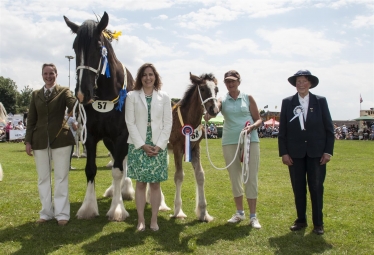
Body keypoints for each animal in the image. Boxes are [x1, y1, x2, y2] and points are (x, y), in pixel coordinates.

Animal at [64, 11, 134, 220]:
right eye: (75, 47)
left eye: (98, 45)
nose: (82, 93)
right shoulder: (91, 135)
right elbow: (91, 169)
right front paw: (88, 207)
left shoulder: (122, 136)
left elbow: (118, 171)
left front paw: (117, 209)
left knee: (123, 164)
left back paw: (125, 190)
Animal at [169, 72, 219, 221]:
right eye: (202, 89)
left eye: (216, 89)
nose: (214, 109)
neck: (188, 119)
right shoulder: (177, 149)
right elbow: (179, 176)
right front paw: (178, 211)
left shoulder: (195, 148)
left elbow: (200, 175)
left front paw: (203, 213)